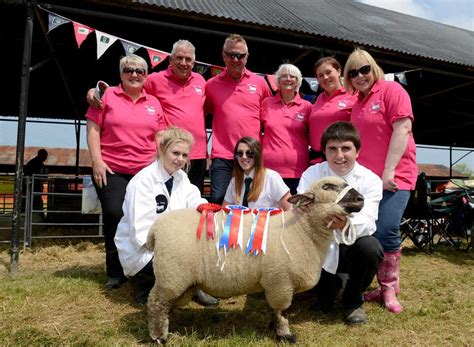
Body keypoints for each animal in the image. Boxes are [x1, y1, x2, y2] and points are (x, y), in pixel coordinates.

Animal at [146, 178, 364, 344]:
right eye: (327, 186)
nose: (361, 199)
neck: (302, 231)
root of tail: (156, 228)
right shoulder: (281, 282)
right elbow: (282, 311)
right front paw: (285, 335)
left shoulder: (276, 283)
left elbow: (274, 310)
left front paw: (273, 327)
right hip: (171, 275)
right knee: (156, 303)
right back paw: (159, 337)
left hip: (178, 280)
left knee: (165, 304)